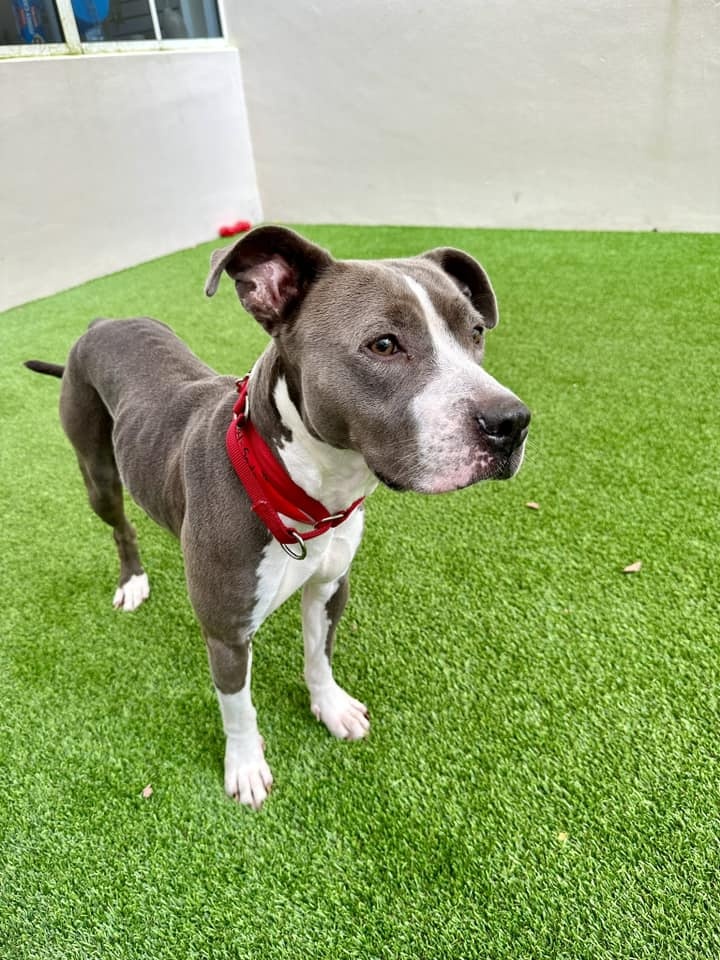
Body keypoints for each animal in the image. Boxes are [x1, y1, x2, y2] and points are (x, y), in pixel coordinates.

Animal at [25, 225, 528, 808]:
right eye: (383, 344)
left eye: (475, 332)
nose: (512, 422)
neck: (304, 492)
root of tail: (100, 323)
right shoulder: (227, 634)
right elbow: (238, 708)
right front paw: (245, 766)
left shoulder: (331, 586)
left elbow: (319, 657)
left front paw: (331, 708)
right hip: (98, 472)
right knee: (121, 524)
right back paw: (133, 582)